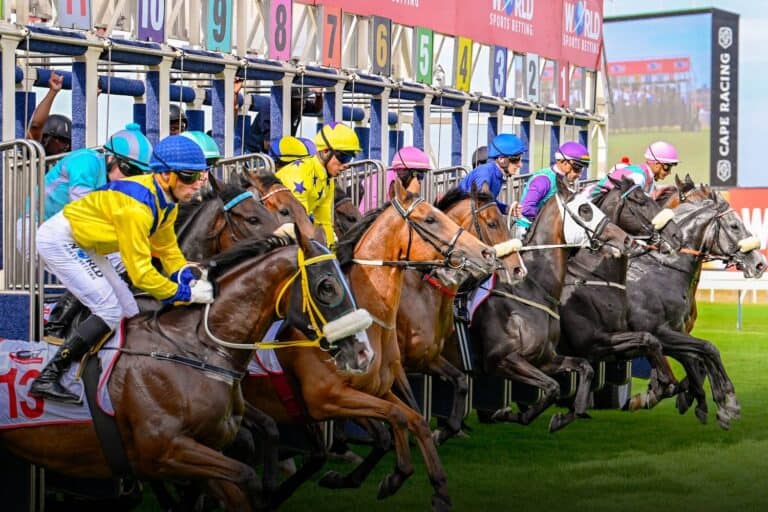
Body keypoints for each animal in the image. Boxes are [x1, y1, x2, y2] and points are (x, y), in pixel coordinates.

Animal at [0, 225, 375, 511]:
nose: (363, 354)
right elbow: (246, 477)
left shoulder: (204, 447)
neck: (192, 349)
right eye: (327, 286)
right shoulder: (166, 450)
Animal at [241, 178, 498, 511]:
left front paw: (434, 486)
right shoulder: (328, 397)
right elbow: (395, 423)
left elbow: (415, 418)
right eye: (430, 219)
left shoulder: (382, 384)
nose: (487, 253)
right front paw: (385, 476)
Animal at [448, 177, 633, 432]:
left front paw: (566, 416)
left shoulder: (545, 359)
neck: (532, 289)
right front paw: (508, 414)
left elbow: (584, 369)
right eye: (585, 210)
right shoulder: (502, 359)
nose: (626, 239)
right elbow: (552, 387)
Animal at [558, 176, 682, 411]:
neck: (591, 275)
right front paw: (665, 384)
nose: (676, 235)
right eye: (641, 200)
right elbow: (650, 340)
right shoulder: (592, 342)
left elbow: (650, 342)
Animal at [627, 191, 766, 429]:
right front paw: (729, 403)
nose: (760, 264)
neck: (660, 269)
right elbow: (708, 350)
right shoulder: (658, 333)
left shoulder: (675, 332)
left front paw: (705, 402)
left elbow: (697, 359)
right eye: (734, 226)